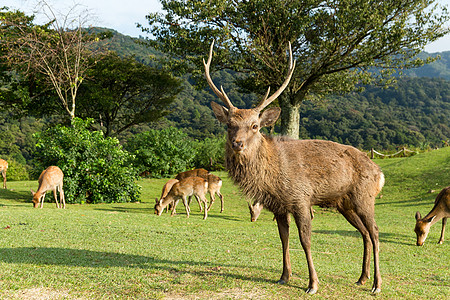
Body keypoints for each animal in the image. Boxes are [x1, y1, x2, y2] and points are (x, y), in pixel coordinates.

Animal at [204, 41, 384, 294]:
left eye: (255, 125)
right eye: (229, 124)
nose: (237, 143)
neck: (272, 178)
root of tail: (379, 172)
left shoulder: (301, 198)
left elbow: (305, 240)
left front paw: (313, 283)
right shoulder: (278, 206)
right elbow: (283, 238)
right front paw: (284, 276)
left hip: (364, 197)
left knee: (375, 232)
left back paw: (377, 284)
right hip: (345, 204)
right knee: (365, 233)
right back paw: (362, 278)